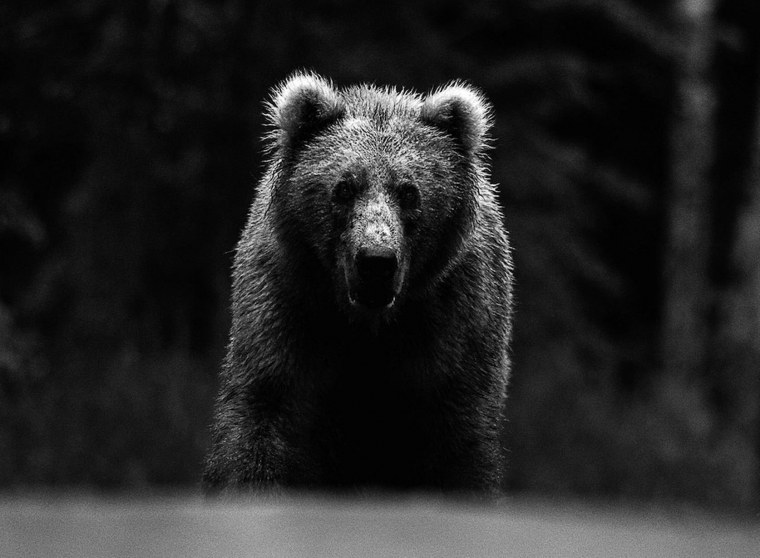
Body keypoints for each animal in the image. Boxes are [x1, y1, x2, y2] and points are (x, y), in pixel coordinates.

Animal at [202, 72, 514, 495]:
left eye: (409, 191)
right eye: (344, 188)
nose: (376, 261)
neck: (368, 325)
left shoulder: (453, 327)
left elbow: (459, 448)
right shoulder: (289, 309)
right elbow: (261, 427)